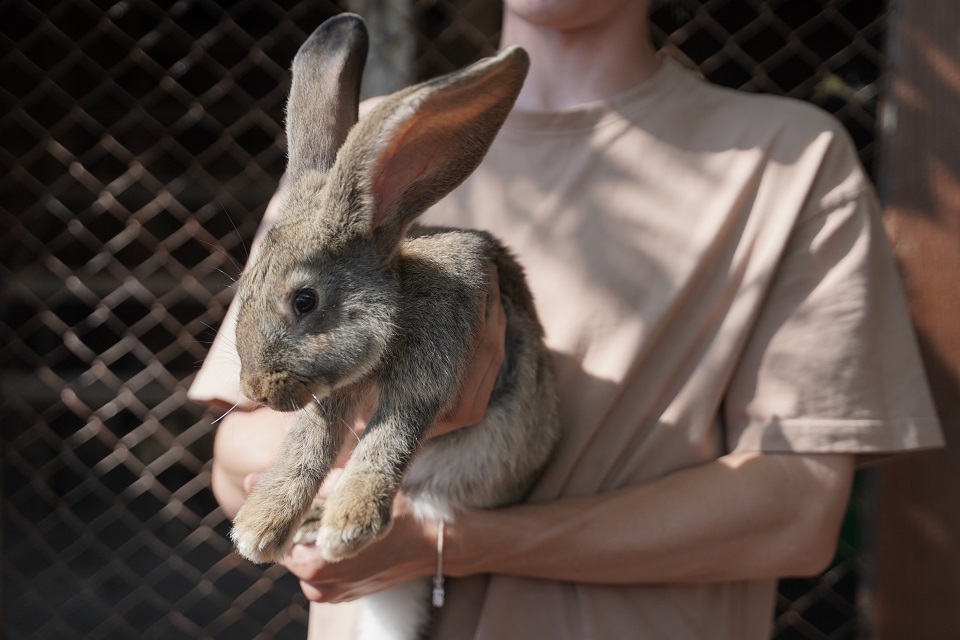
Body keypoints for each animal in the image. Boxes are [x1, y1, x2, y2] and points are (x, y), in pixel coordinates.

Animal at [228, 12, 560, 639]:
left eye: (304, 301)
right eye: (243, 284)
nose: (255, 390)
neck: (399, 305)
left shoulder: (431, 368)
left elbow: (390, 434)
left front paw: (350, 524)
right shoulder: (331, 394)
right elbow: (306, 444)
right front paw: (259, 528)